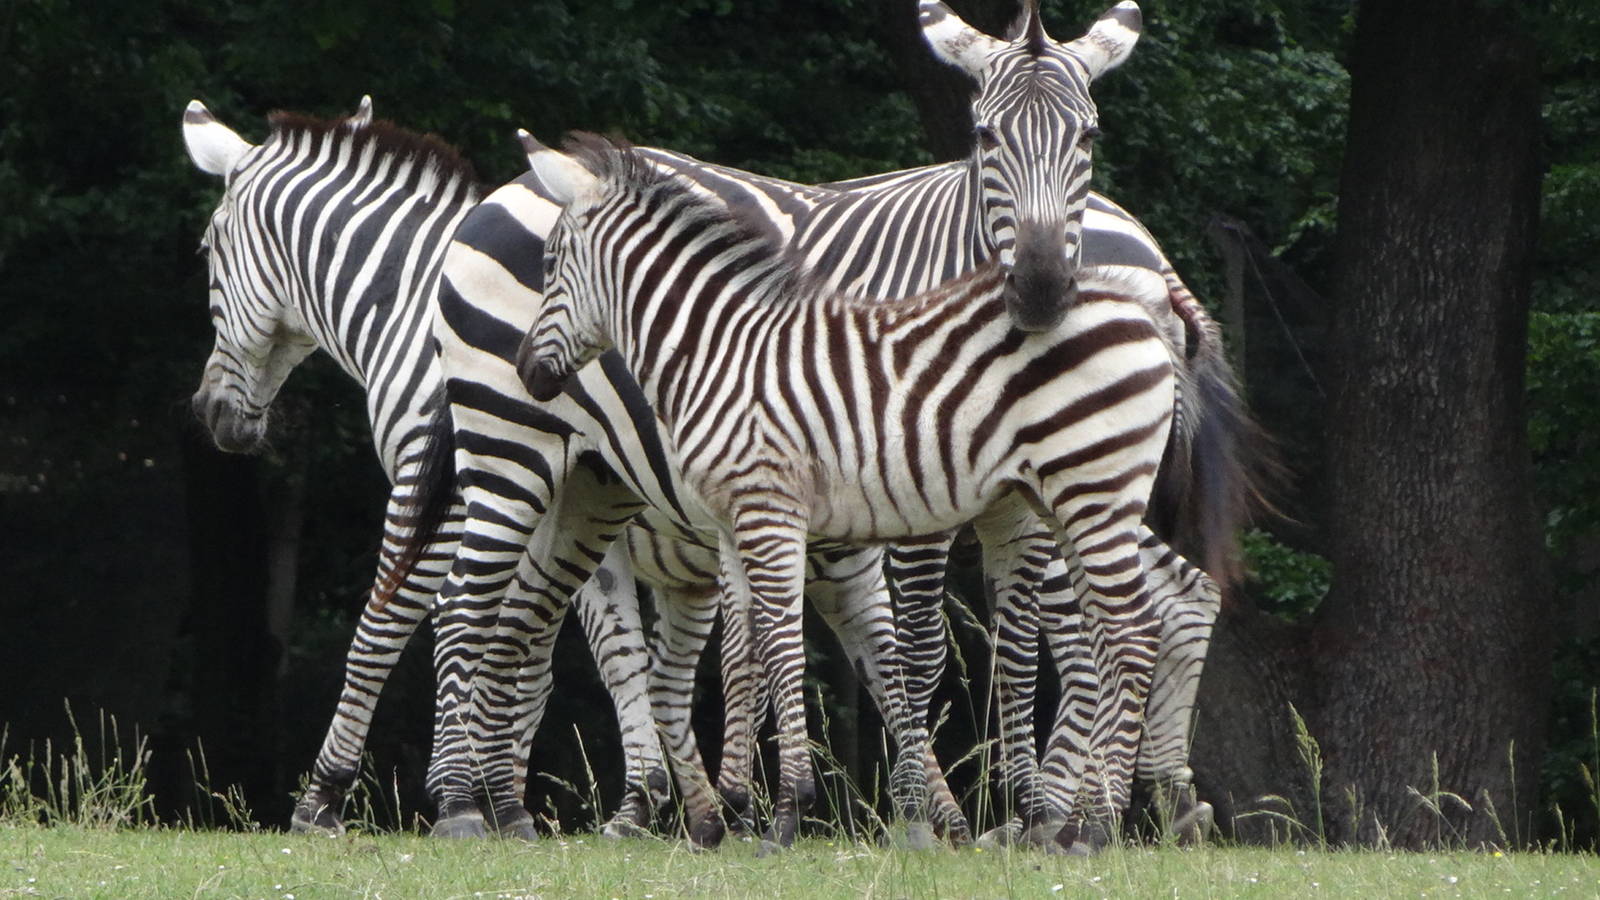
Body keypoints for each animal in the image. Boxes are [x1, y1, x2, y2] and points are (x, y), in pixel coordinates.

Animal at [180, 97, 679, 837]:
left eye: (208, 250)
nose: (210, 412)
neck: (415, 305)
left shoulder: (445, 486)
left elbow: (418, 624)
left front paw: (435, 795)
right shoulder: (556, 502)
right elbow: (570, 653)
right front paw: (517, 801)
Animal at [519, 134, 1189, 852]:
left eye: (550, 264)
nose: (527, 373)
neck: (718, 352)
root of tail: (1138, 308)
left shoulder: (771, 509)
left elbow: (782, 645)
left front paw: (787, 812)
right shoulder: (730, 522)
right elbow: (744, 651)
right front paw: (735, 810)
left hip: (1095, 490)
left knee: (1134, 632)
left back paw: (1099, 825)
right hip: (1067, 497)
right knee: (1110, 635)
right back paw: (1079, 825)